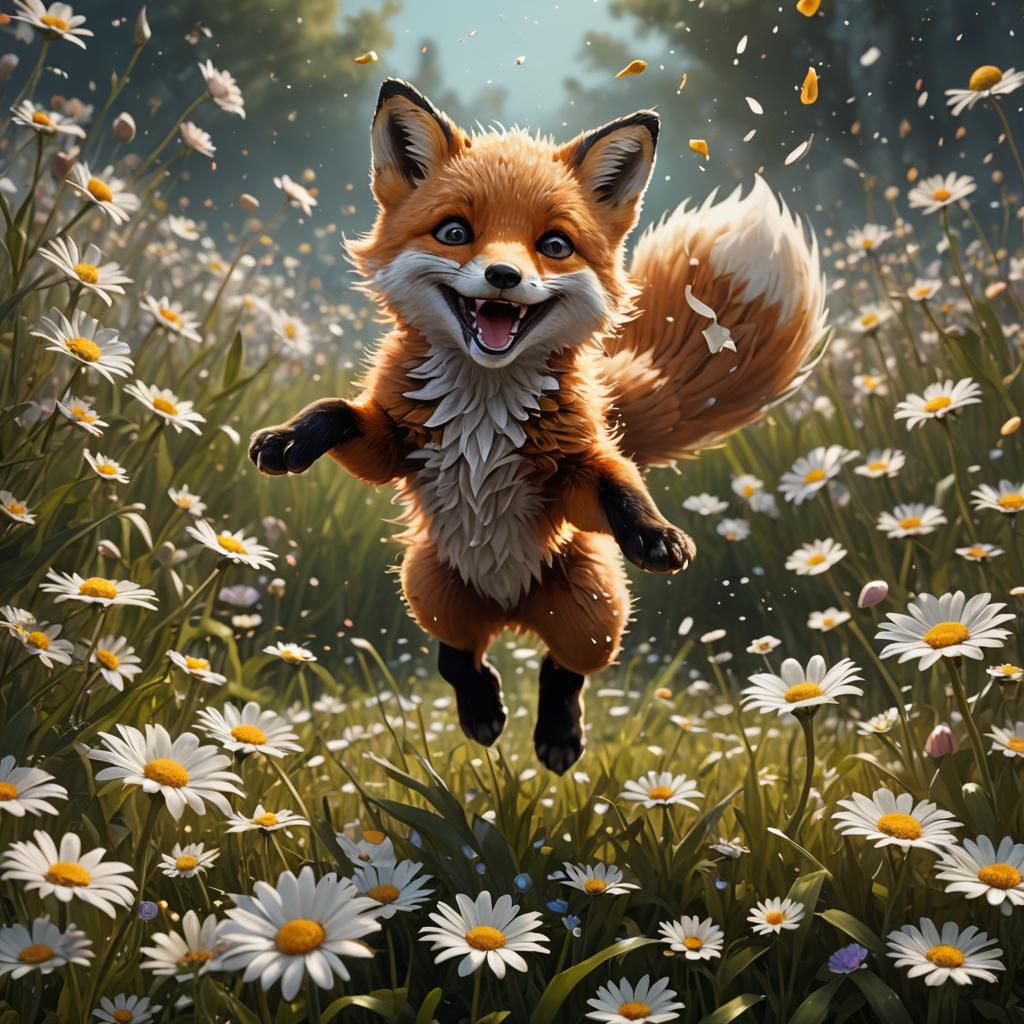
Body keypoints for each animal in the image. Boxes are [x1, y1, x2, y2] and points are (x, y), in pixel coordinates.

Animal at [249, 78, 826, 773]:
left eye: (554, 245)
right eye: (454, 232)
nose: (504, 276)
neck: (483, 406)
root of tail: (511, 610)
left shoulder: (569, 473)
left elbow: (616, 482)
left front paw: (655, 533)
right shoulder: (398, 445)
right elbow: (336, 412)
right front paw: (287, 441)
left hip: (594, 610)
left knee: (563, 670)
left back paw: (555, 735)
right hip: (429, 589)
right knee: (457, 658)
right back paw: (484, 711)